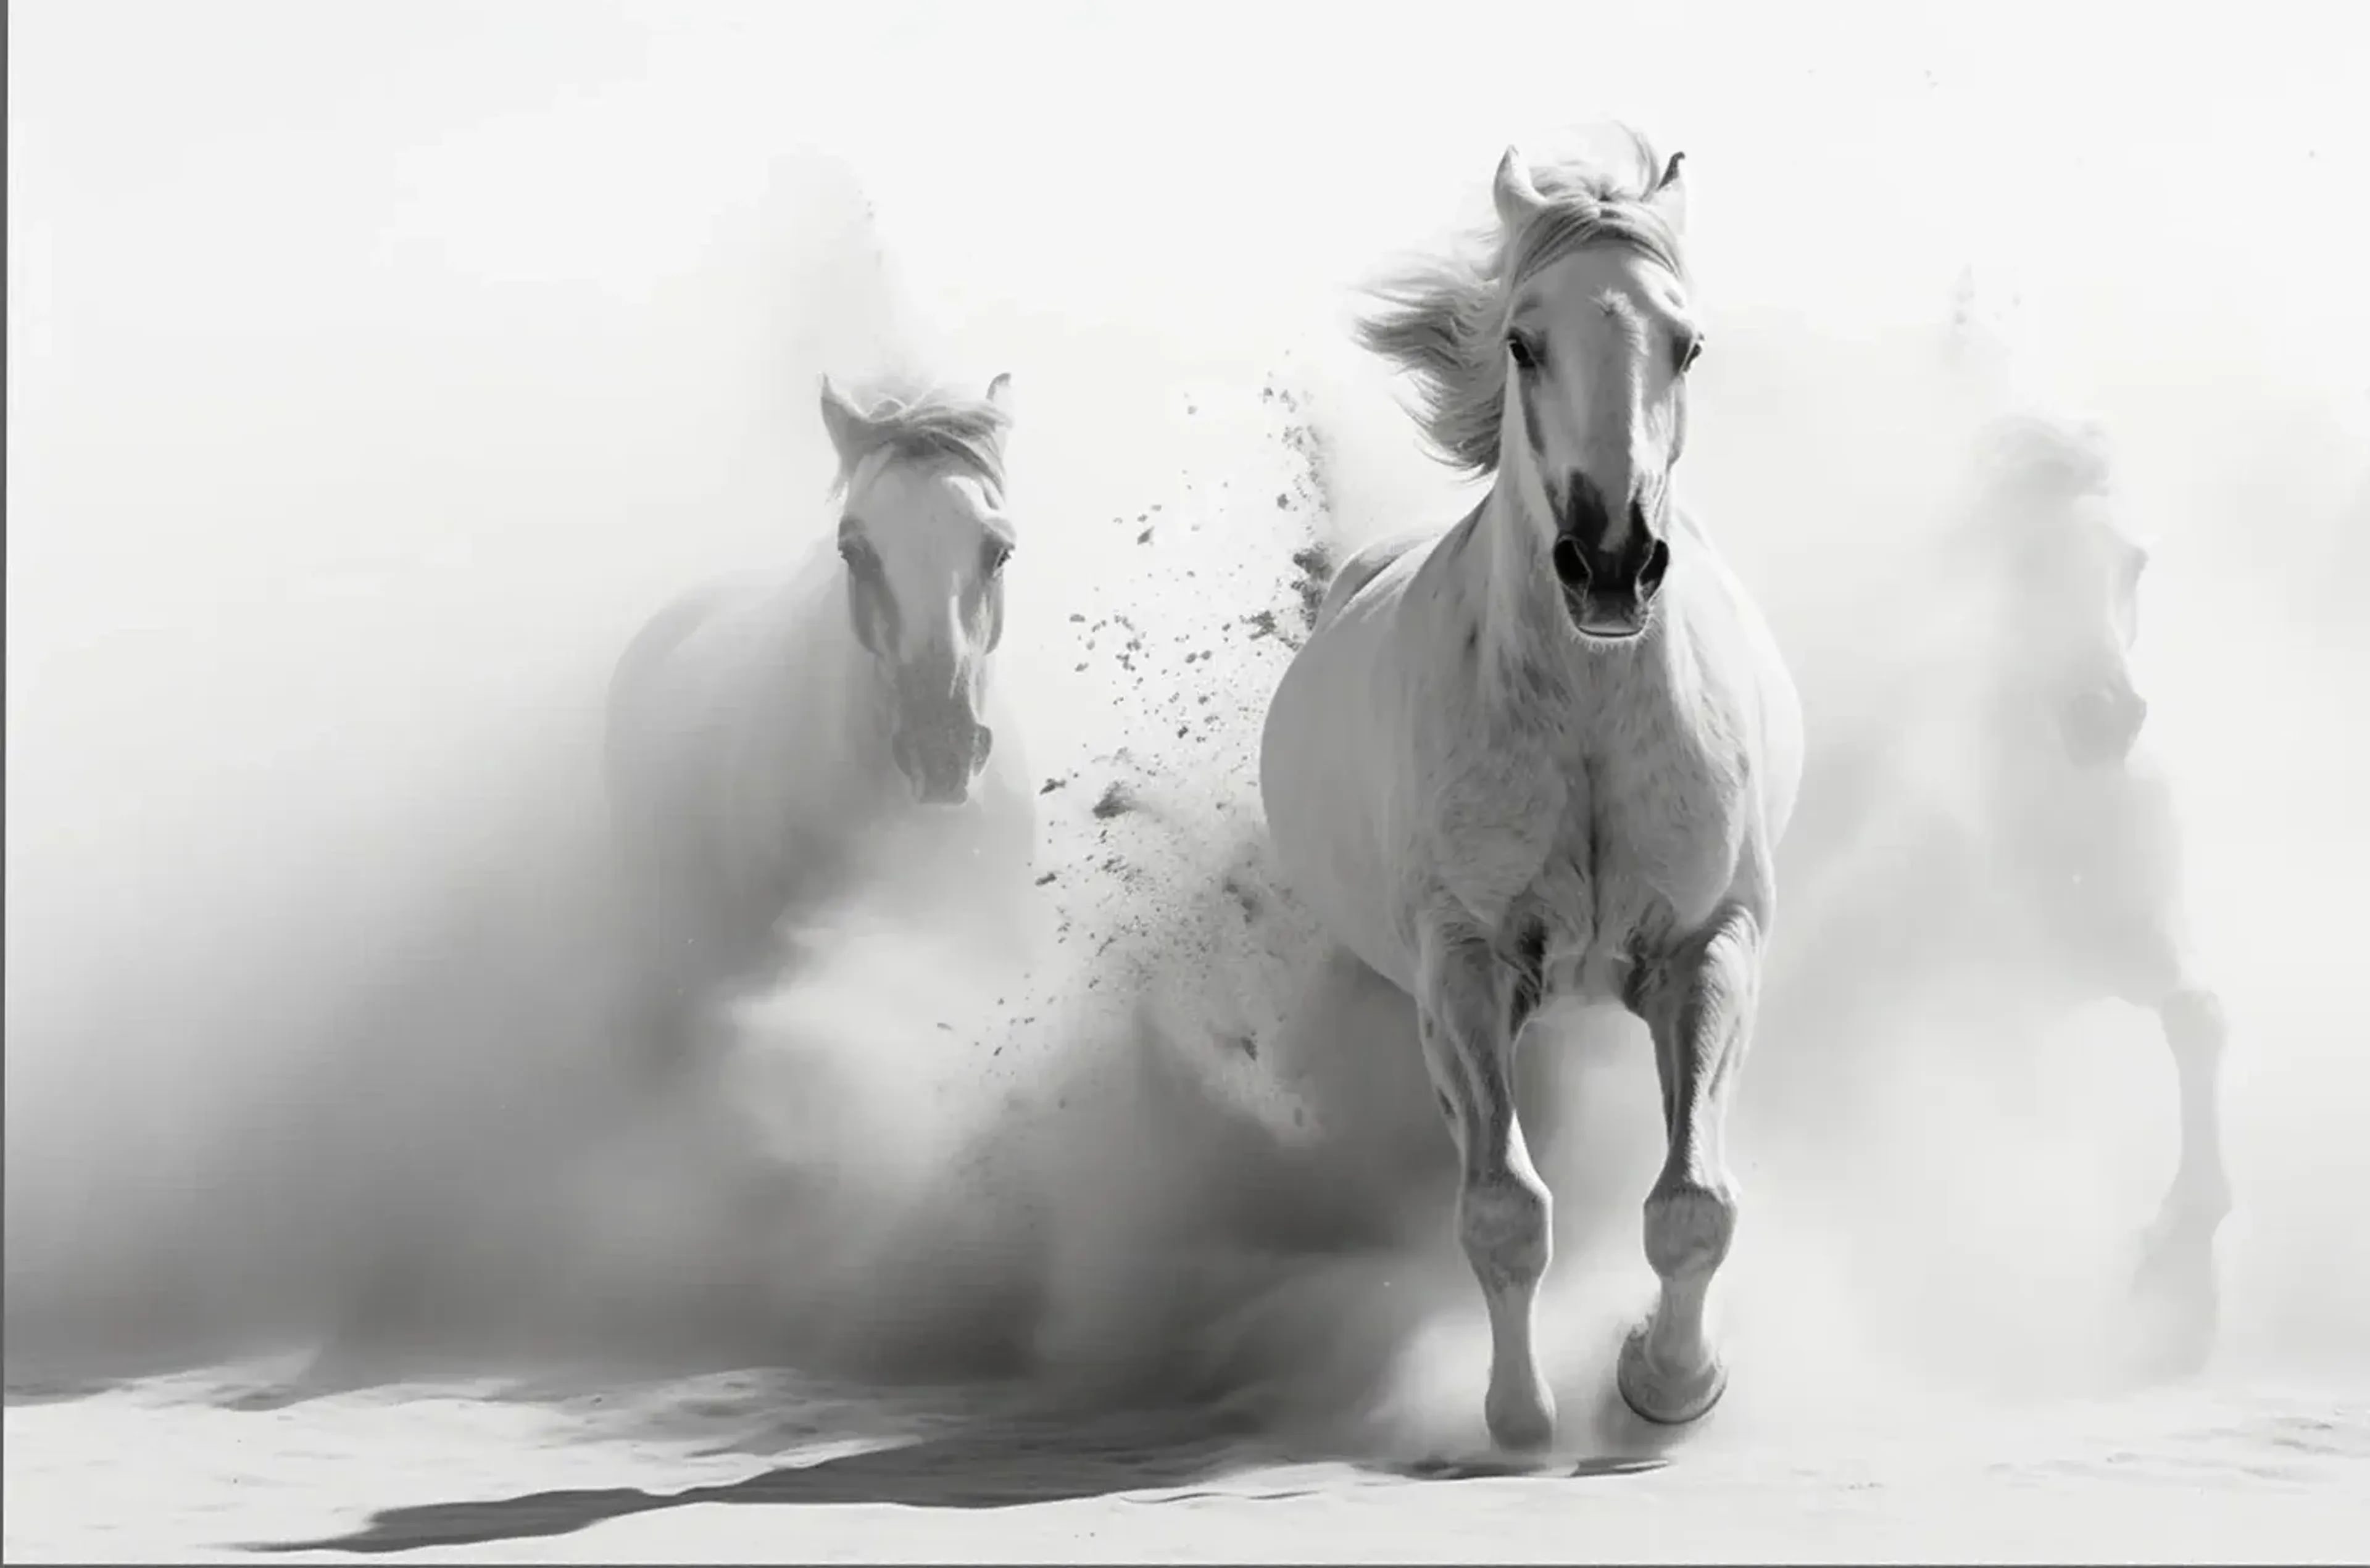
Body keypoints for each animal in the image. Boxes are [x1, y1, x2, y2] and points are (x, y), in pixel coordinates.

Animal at [1259, 133, 1803, 1449]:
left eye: (1687, 342)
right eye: (1522, 340)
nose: (1611, 562)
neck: (1592, 725)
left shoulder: (1708, 947)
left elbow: (1693, 1205)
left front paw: (1667, 1384)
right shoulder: (1464, 966)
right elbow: (1504, 1211)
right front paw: (1522, 1419)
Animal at [1768, 411, 2231, 1369]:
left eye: (2134, 562)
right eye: (2023, 559)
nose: (2103, 715)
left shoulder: (2133, 951)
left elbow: (2199, 1021)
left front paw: (2180, 1277)